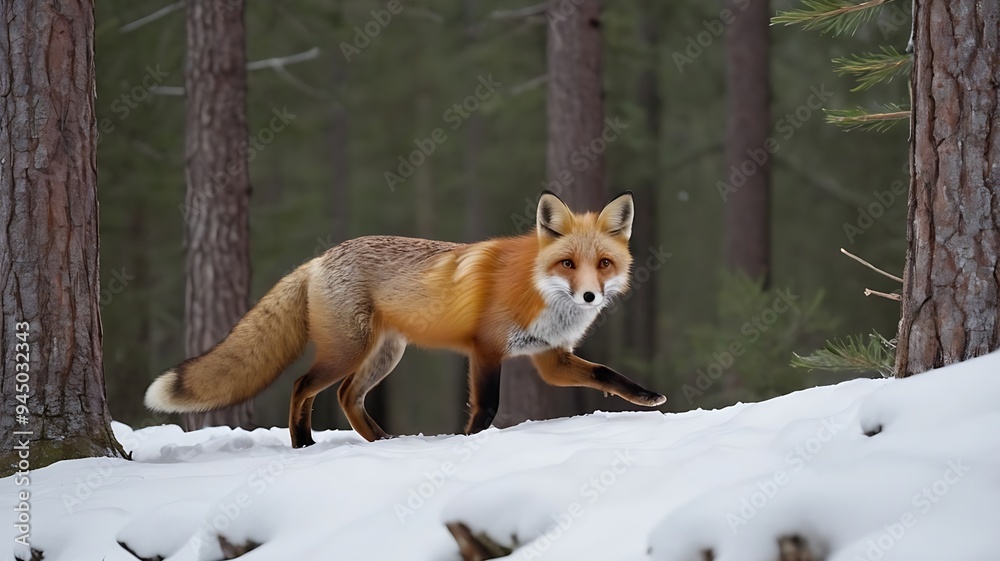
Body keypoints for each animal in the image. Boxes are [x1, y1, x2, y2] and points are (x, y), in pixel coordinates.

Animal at [145, 190, 666, 448]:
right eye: (567, 264)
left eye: (603, 263)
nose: (589, 295)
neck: (536, 289)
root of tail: (319, 259)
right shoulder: (486, 350)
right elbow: (487, 408)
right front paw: (469, 443)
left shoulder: (549, 359)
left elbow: (605, 374)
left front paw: (646, 397)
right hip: (348, 351)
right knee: (302, 386)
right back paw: (302, 442)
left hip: (384, 356)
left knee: (346, 396)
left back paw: (381, 443)